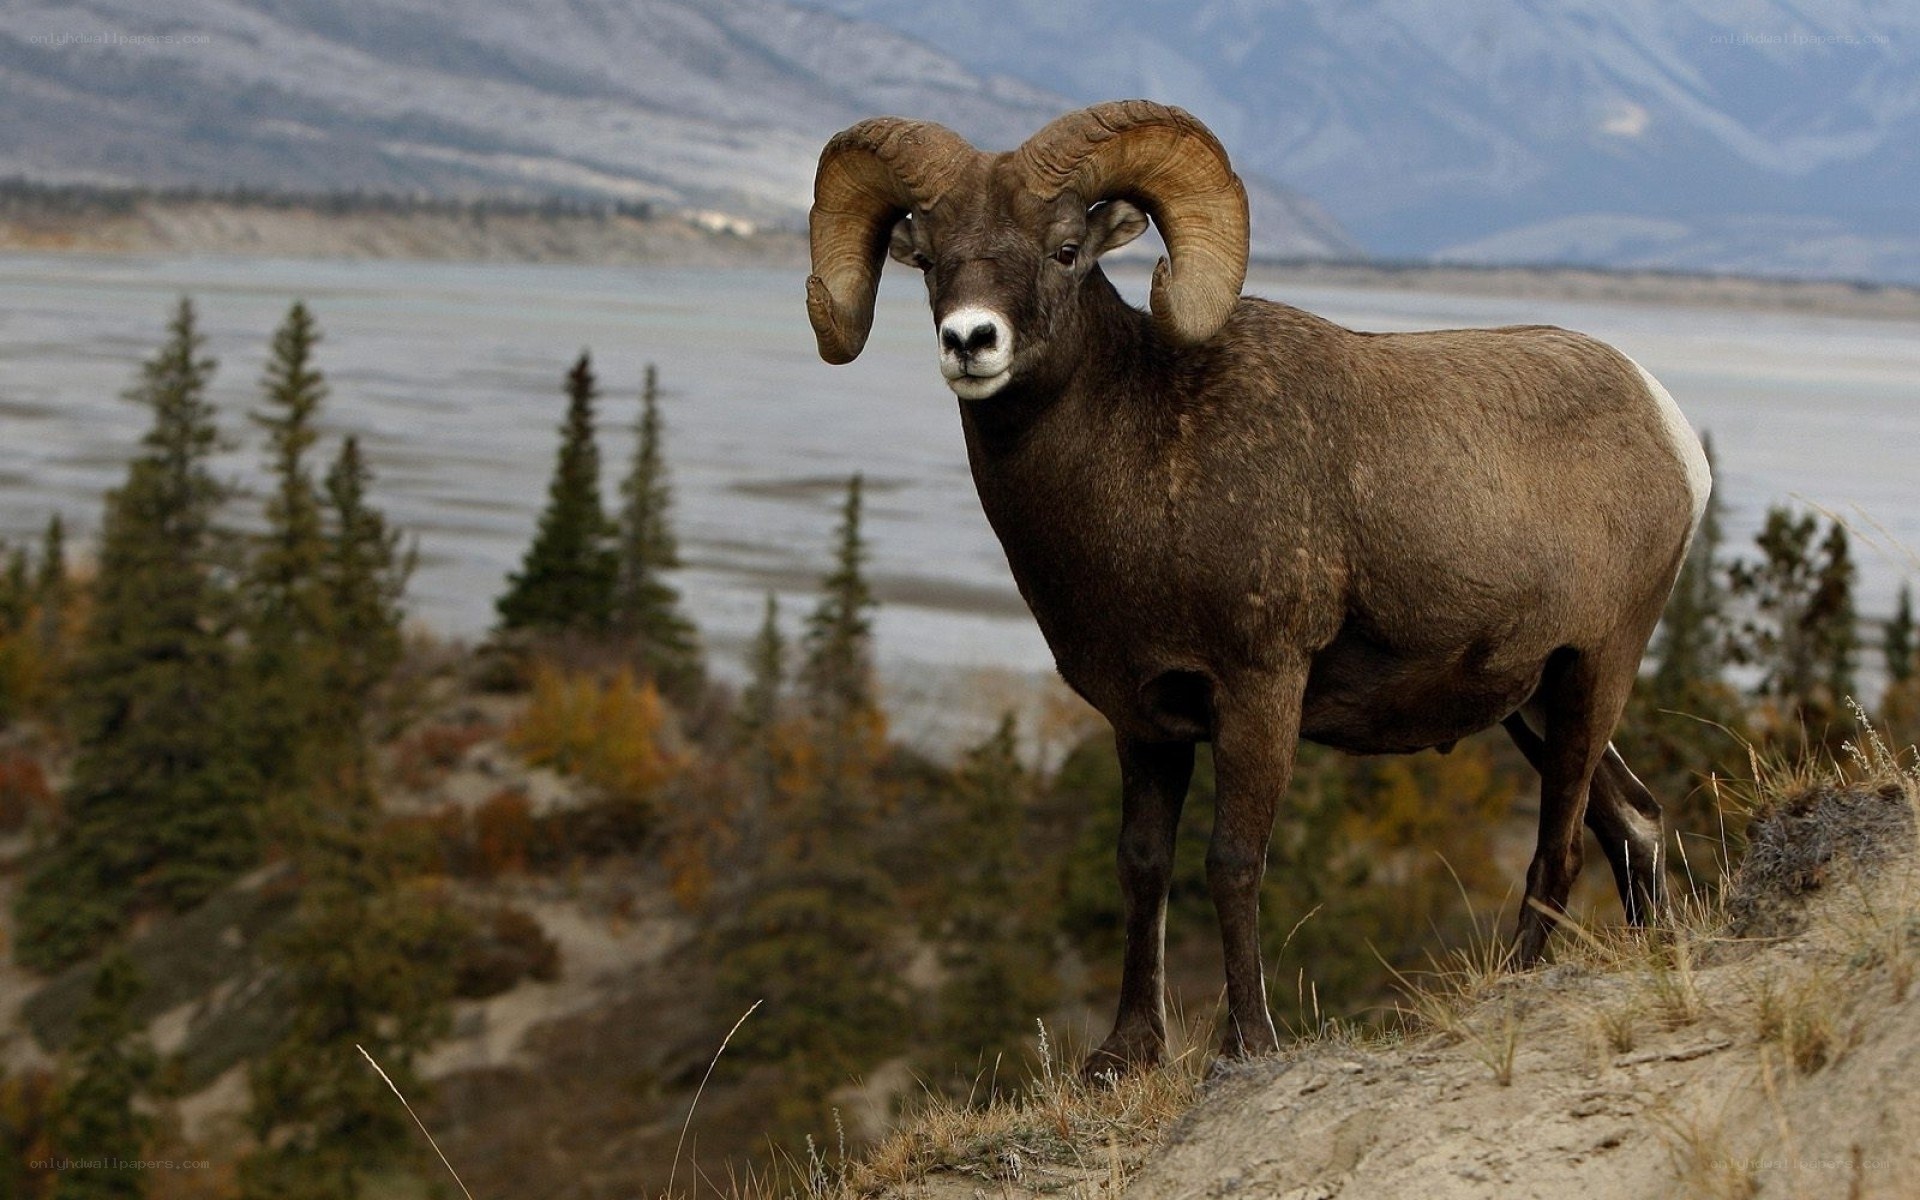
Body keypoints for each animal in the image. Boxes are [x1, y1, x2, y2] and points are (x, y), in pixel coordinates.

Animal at [804, 100, 1712, 1076]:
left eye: (1064, 249)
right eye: (930, 258)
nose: (970, 342)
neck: (1146, 458)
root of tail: (1671, 430)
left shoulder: (1260, 692)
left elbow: (1231, 863)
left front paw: (1246, 1045)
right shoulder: (1144, 721)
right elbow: (1142, 866)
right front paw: (1125, 1053)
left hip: (1595, 670)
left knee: (1560, 850)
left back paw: (1508, 988)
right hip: (1533, 705)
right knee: (1634, 822)